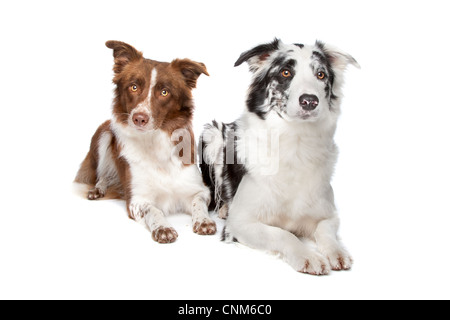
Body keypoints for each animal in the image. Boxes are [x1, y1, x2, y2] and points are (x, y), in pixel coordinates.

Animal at [74, 41, 215, 244]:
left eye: (164, 92)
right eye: (133, 87)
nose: (139, 118)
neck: (154, 142)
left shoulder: (199, 189)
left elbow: (199, 203)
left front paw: (204, 221)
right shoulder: (137, 199)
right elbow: (153, 210)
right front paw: (163, 228)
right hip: (103, 134)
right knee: (102, 175)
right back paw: (97, 190)